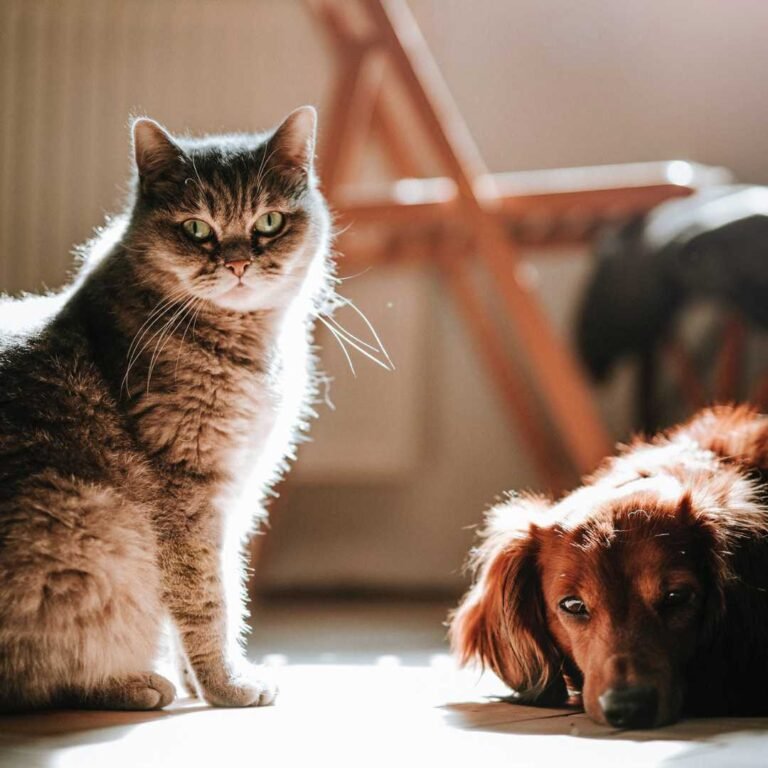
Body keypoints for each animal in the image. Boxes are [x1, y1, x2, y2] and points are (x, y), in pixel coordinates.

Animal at [0, 105, 332, 712]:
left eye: (269, 222)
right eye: (196, 228)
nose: (238, 262)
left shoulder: (235, 498)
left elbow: (210, 592)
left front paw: (201, 683)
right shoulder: (188, 494)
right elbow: (209, 600)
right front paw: (228, 685)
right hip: (92, 521)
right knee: (38, 677)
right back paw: (130, 684)